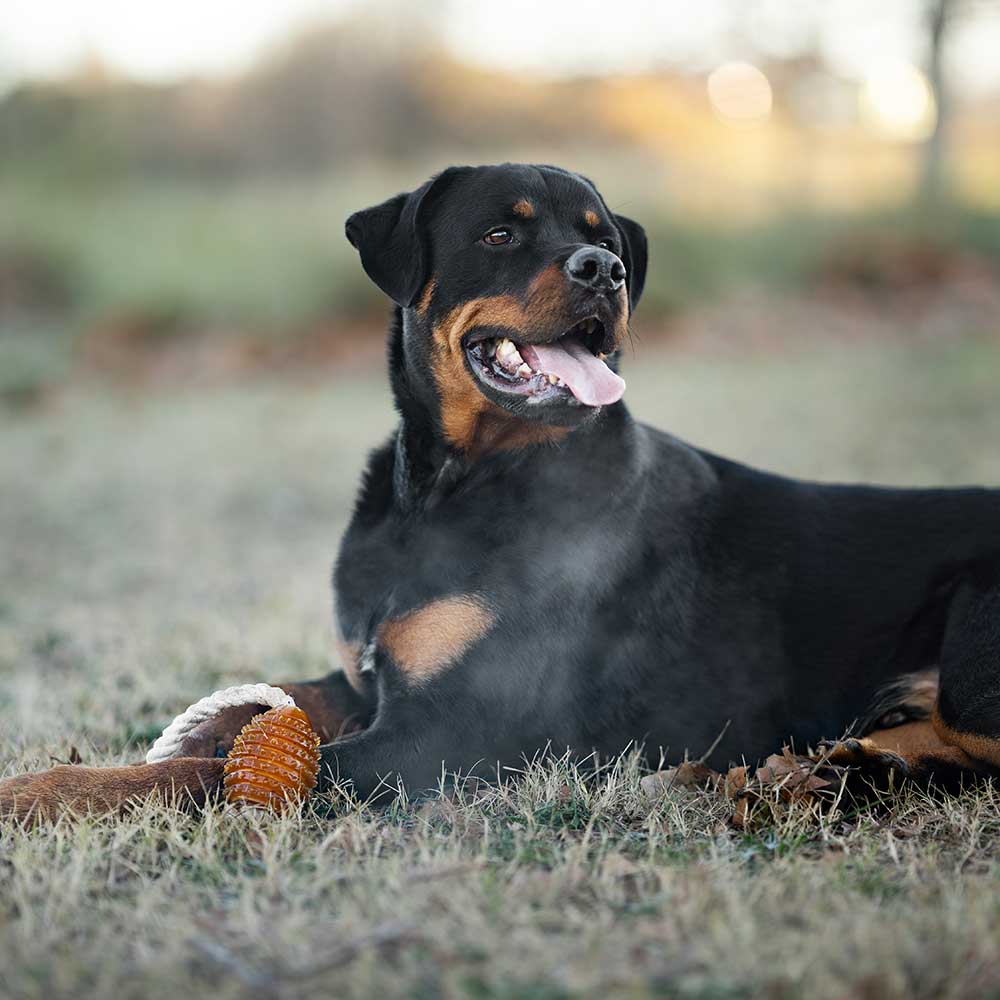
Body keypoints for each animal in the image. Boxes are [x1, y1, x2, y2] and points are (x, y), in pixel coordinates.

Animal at [1, 164, 1000, 820]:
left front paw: (43, 792)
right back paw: (850, 767)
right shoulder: (369, 680)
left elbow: (192, 776)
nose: (604, 270)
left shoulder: (448, 733)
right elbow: (261, 708)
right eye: (499, 233)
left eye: (602, 235)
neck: (450, 495)